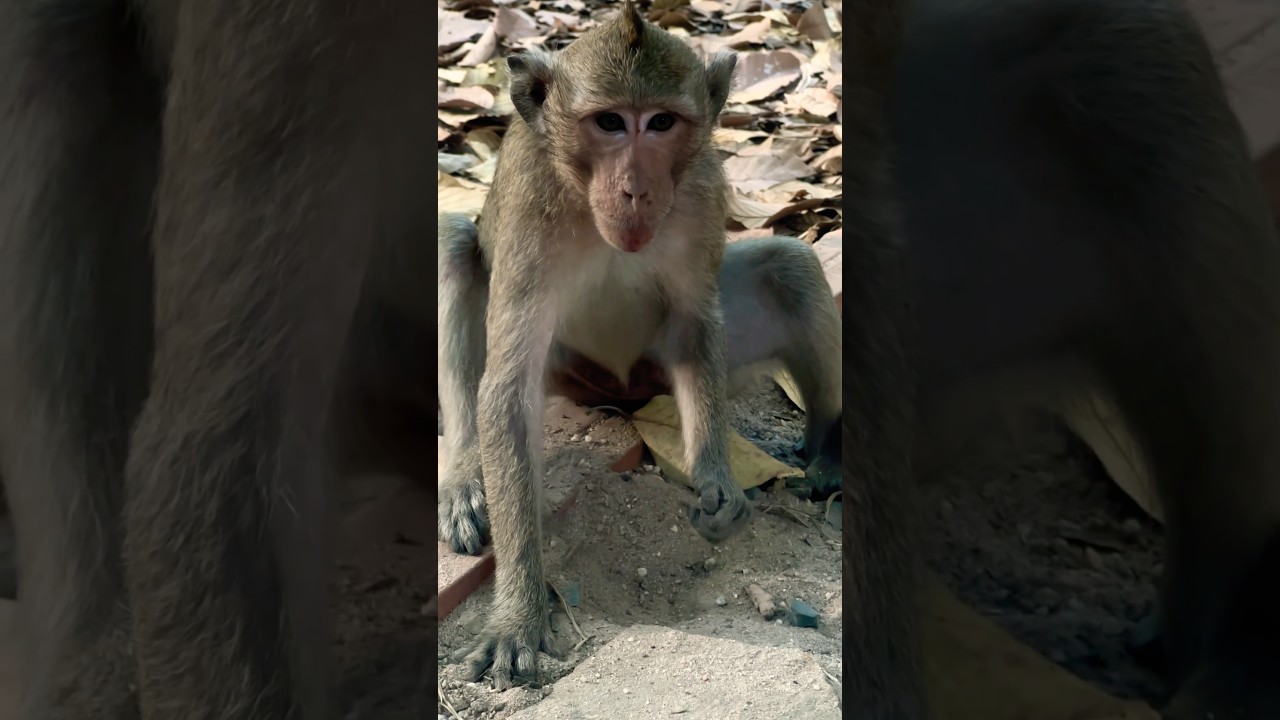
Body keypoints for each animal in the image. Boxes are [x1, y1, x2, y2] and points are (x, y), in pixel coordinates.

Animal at [435, 2, 849, 690]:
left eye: (660, 123)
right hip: (569, 372)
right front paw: (517, 614)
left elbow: (694, 322)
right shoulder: (529, 204)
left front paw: (718, 483)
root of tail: (619, 392)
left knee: (788, 265)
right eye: (609, 122)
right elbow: (510, 388)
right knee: (452, 247)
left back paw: (828, 456)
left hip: (657, 369)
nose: (635, 189)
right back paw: (466, 477)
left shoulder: (703, 188)